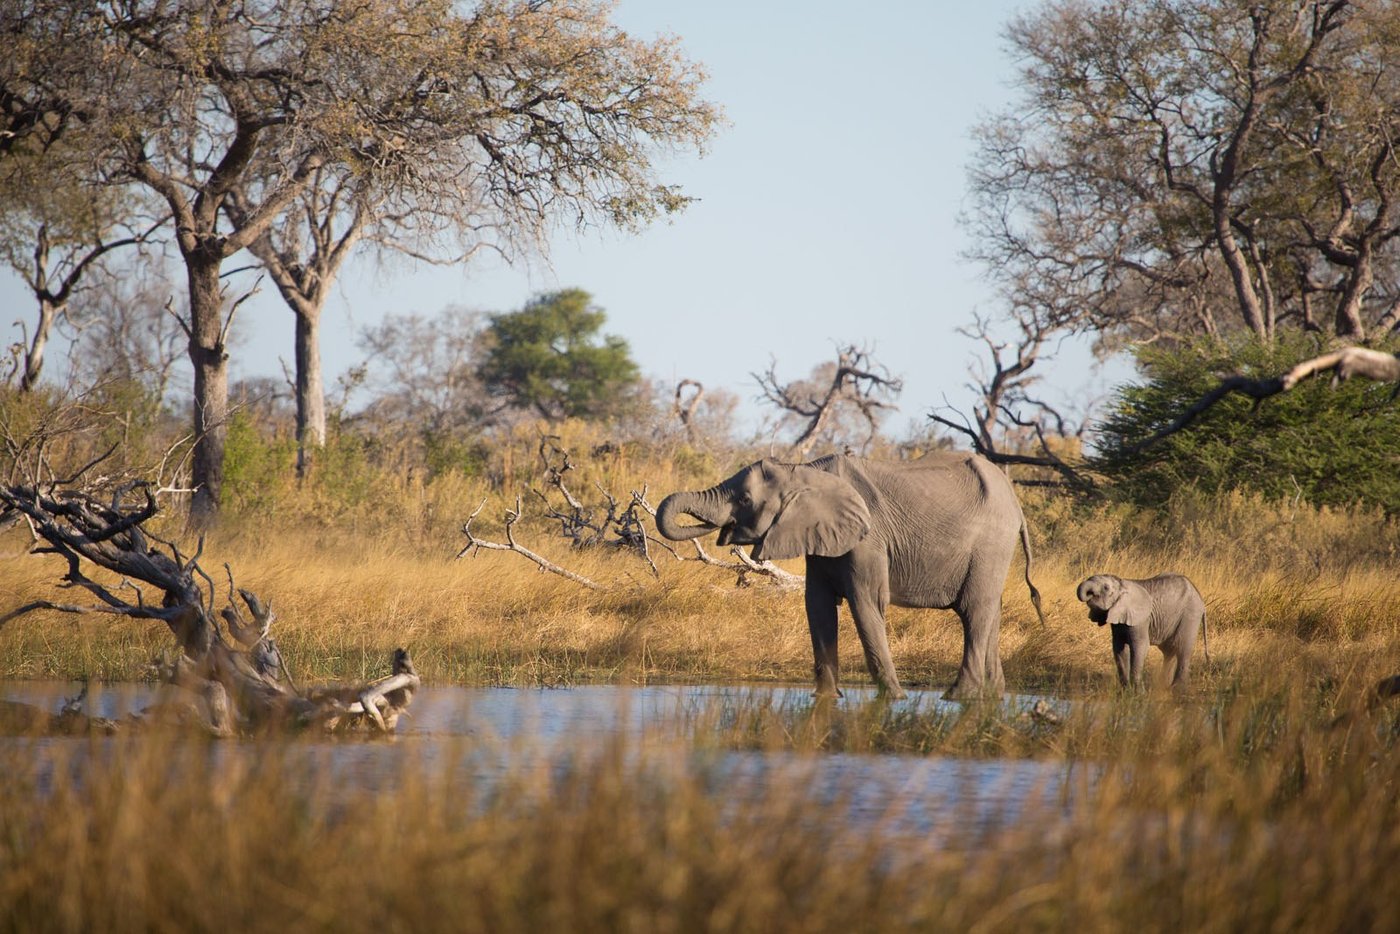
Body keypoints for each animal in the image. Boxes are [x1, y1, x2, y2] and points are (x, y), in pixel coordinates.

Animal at [655, 452, 1045, 699]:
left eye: (746, 499)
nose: (720, 533)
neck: (804, 470)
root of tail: (1015, 502)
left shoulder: (868, 539)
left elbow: (866, 603)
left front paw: (895, 699)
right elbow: (817, 606)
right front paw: (827, 698)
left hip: (991, 543)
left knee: (974, 611)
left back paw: (957, 697)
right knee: (989, 612)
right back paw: (991, 696)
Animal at [1075, 573, 1209, 690]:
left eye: (1106, 588)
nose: (1089, 594)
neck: (1123, 584)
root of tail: (1200, 598)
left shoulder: (1141, 619)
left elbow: (1140, 646)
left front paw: (1138, 693)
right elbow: (1119, 648)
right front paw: (1125, 691)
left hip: (1190, 614)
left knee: (1182, 648)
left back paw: (1177, 689)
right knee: (1169, 651)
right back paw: (1162, 686)